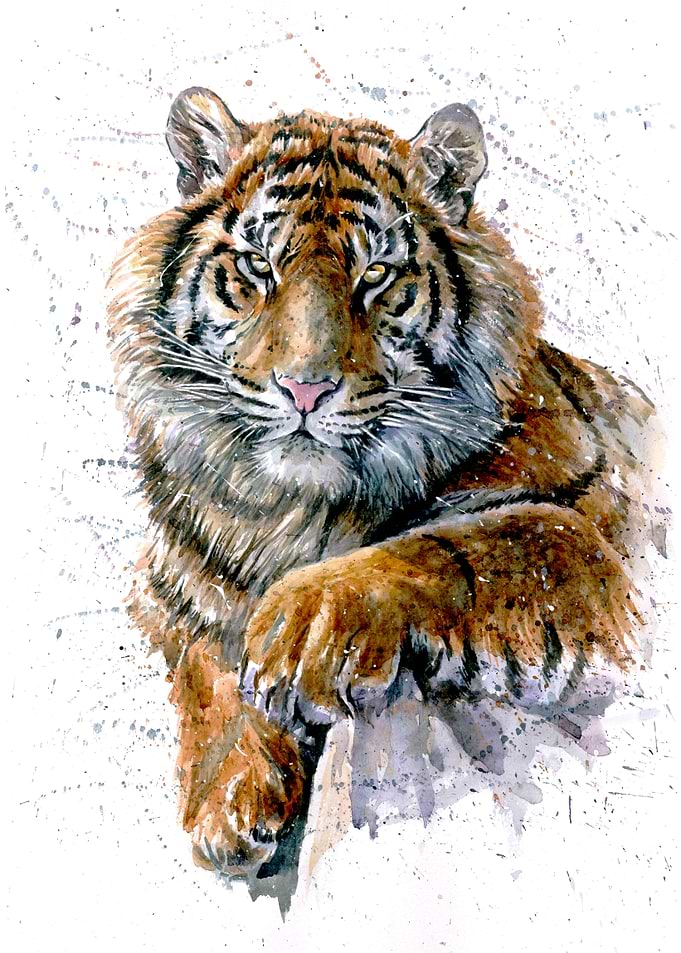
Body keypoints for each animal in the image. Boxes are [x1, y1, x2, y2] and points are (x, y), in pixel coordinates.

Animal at [107, 86, 657, 880]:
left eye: (374, 276)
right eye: (258, 266)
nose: (304, 389)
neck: (293, 511)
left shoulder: (586, 527)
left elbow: (455, 544)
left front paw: (302, 628)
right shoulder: (172, 586)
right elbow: (202, 662)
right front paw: (227, 798)